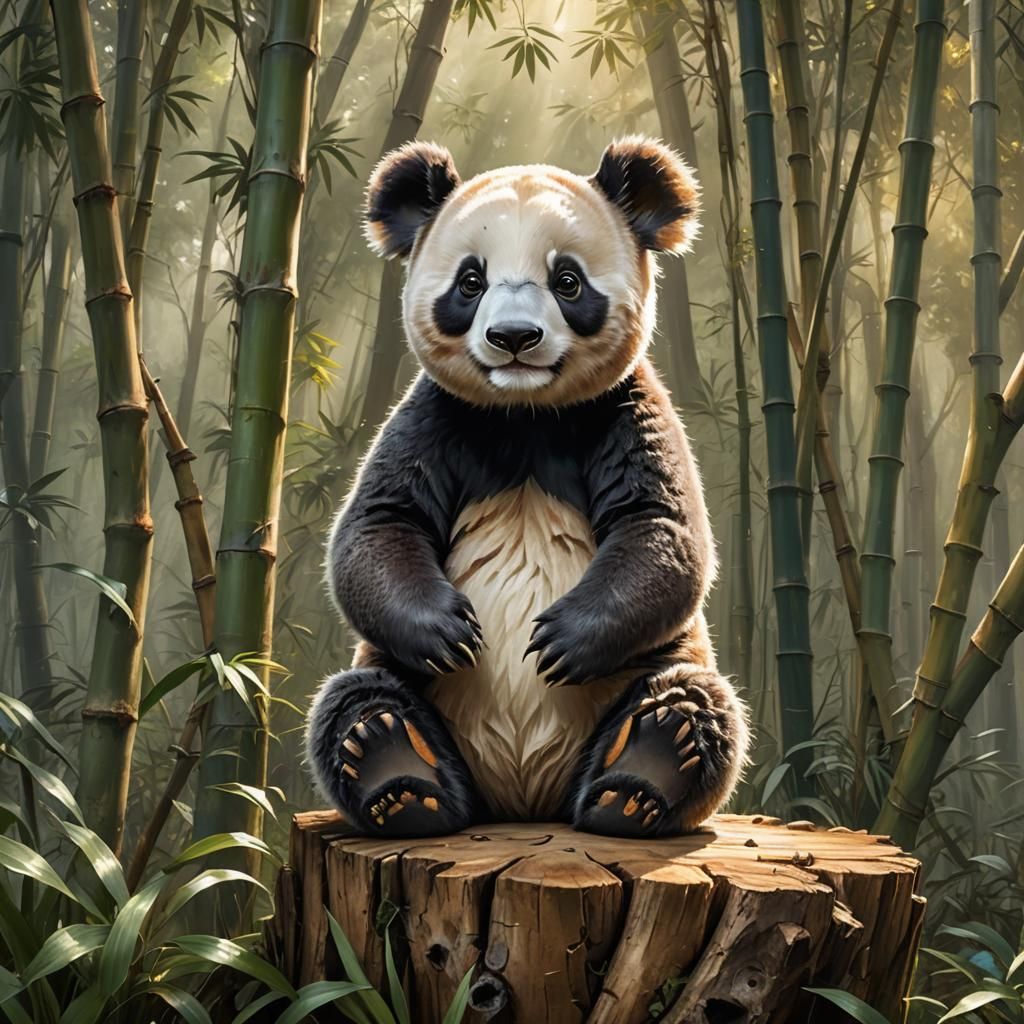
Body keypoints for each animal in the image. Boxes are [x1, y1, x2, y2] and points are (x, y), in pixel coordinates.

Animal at [306, 135, 749, 838]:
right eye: (471, 281)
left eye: (567, 281)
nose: (514, 337)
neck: (527, 416)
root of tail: (523, 801)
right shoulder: (436, 418)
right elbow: (379, 523)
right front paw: (450, 632)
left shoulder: (625, 410)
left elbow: (661, 527)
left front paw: (560, 641)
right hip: (401, 680)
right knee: (353, 700)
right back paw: (397, 775)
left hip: (653, 668)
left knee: (695, 701)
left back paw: (641, 779)